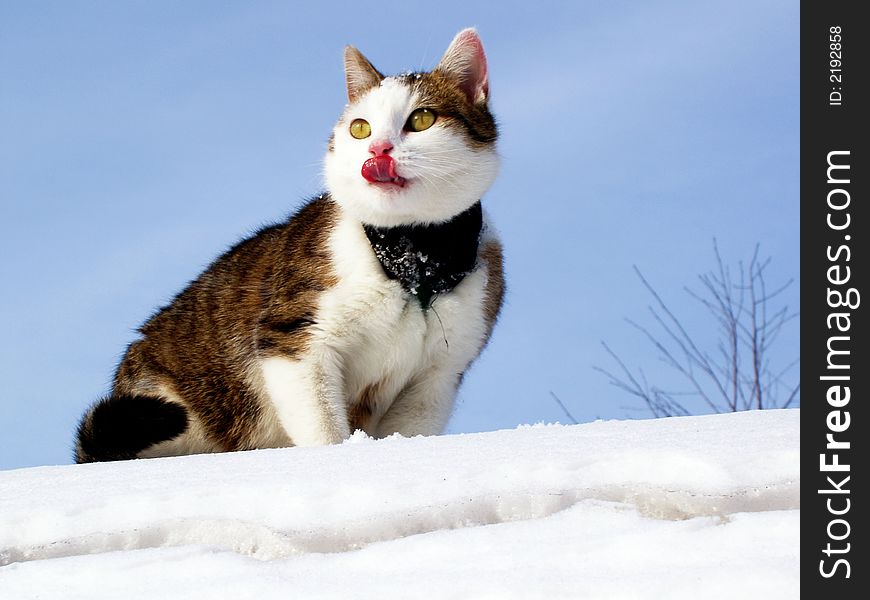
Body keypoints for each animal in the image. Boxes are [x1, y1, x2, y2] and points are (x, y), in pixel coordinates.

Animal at [76, 28, 504, 464]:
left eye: (422, 119)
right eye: (360, 128)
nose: (377, 150)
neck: (415, 257)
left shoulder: (437, 377)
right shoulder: (293, 341)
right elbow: (325, 431)